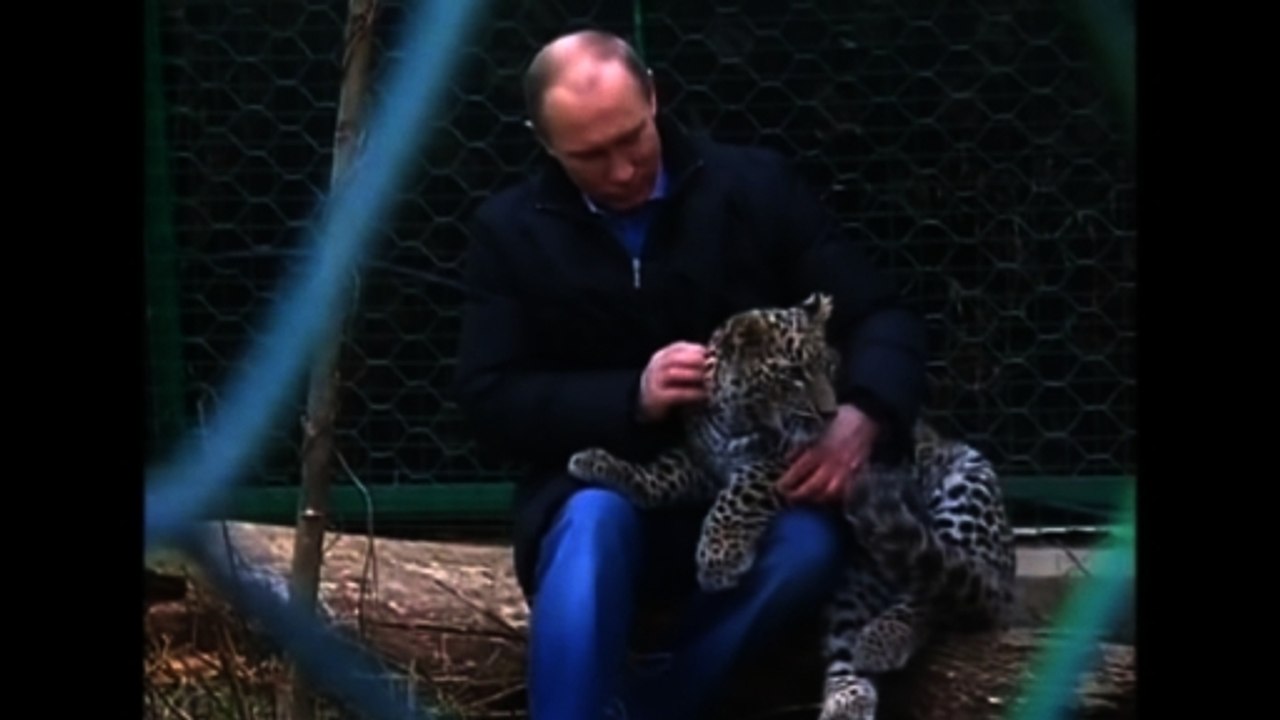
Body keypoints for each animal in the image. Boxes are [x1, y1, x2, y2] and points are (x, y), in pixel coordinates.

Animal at [567, 292, 1017, 720]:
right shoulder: (700, 464)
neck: (736, 419)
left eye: (828, 367)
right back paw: (848, 696)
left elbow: (740, 491)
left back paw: (883, 639)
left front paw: (719, 559)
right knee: (850, 637)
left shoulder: (788, 463)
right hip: (851, 586)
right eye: (795, 374)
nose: (832, 412)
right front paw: (597, 464)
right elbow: (658, 476)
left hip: (966, 486)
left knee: (939, 596)